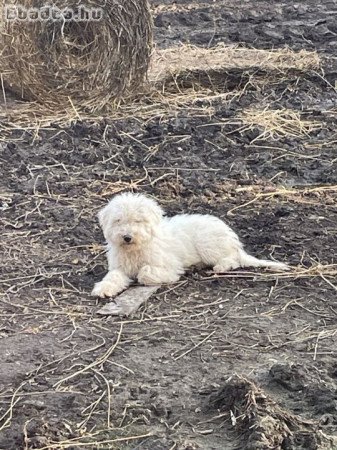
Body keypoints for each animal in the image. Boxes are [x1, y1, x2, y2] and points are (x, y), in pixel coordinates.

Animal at [90, 192, 288, 298]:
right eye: (118, 221)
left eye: (138, 221)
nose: (127, 237)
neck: (135, 249)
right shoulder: (119, 267)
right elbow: (113, 276)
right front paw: (104, 288)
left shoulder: (170, 266)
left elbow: (145, 272)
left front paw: (143, 275)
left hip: (208, 244)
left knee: (233, 259)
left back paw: (221, 266)